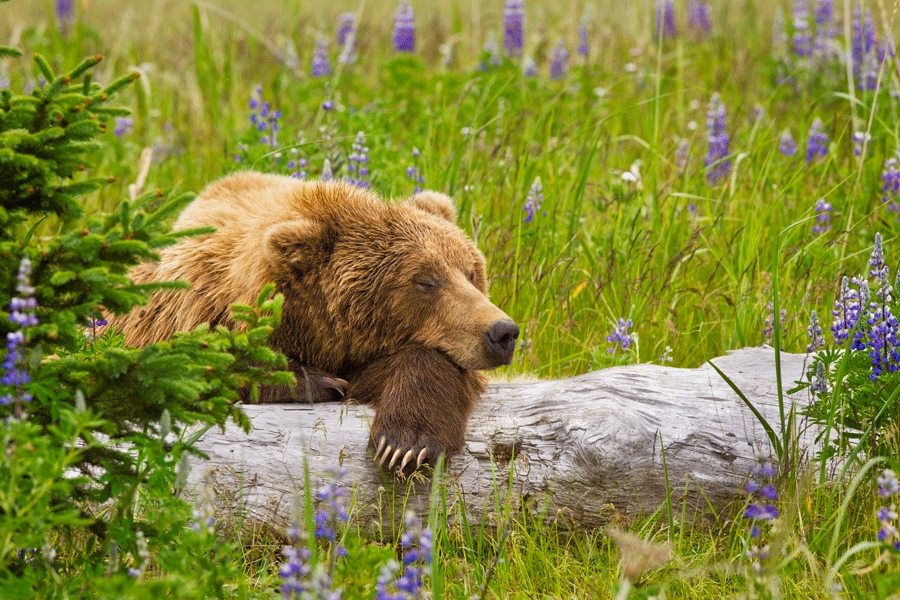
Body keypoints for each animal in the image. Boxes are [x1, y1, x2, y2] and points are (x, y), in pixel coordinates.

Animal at [111, 172, 519, 473]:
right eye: (426, 281)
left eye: (471, 272)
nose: (502, 332)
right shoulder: (187, 312)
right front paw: (317, 381)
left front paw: (406, 443)